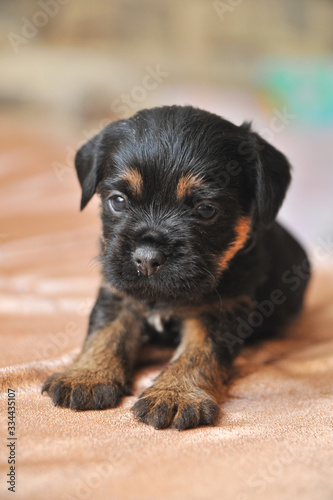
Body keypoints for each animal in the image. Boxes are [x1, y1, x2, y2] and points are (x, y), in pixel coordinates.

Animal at [42, 104, 310, 430]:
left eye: (206, 210)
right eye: (117, 201)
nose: (146, 258)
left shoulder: (220, 311)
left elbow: (198, 353)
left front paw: (174, 394)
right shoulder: (118, 292)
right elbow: (104, 331)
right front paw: (87, 375)